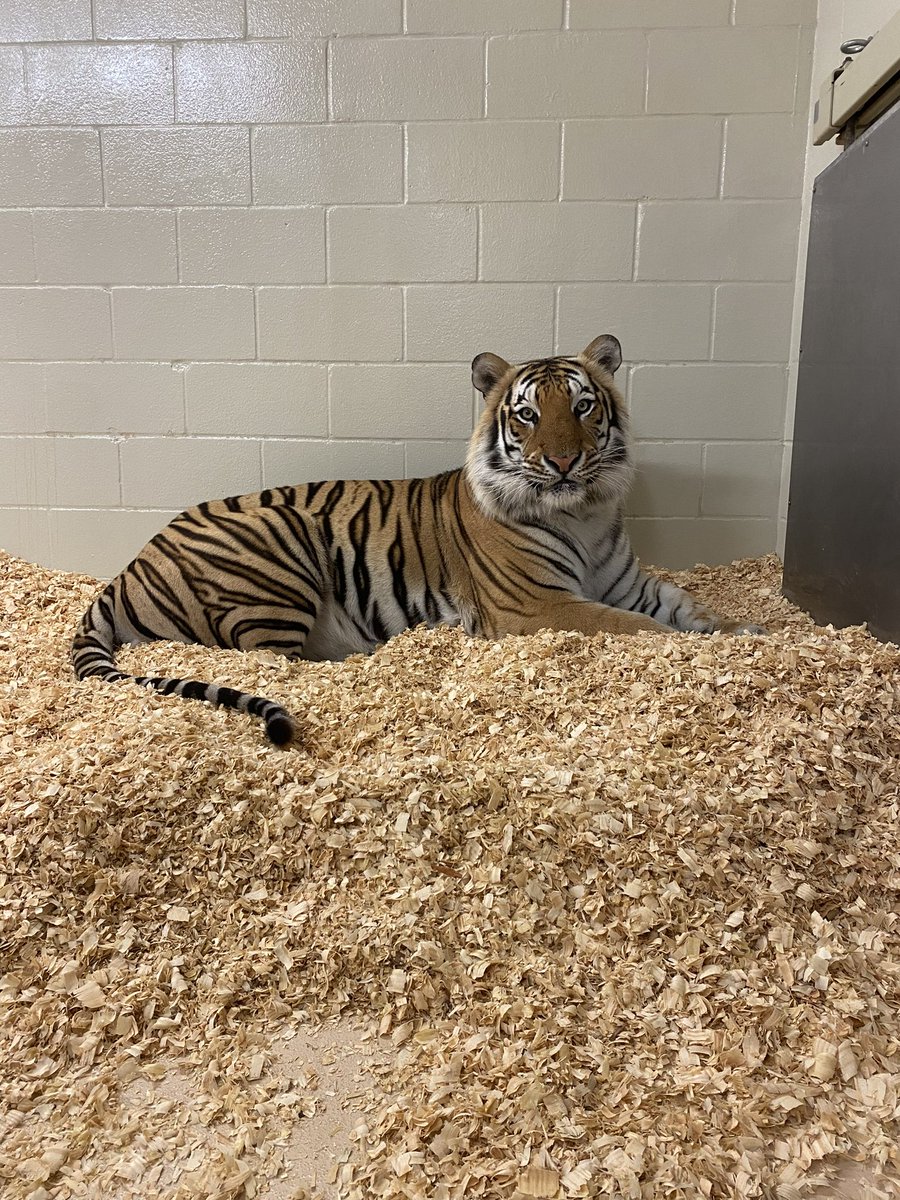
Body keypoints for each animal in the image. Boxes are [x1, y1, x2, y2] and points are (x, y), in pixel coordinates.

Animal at [74, 333, 768, 744]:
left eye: (583, 407)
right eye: (527, 415)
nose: (565, 462)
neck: (584, 514)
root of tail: (128, 569)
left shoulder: (628, 584)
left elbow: (689, 610)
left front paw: (750, 634)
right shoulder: (538, 605)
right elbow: (639, 631)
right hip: (278, 544)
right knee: (274, 660)